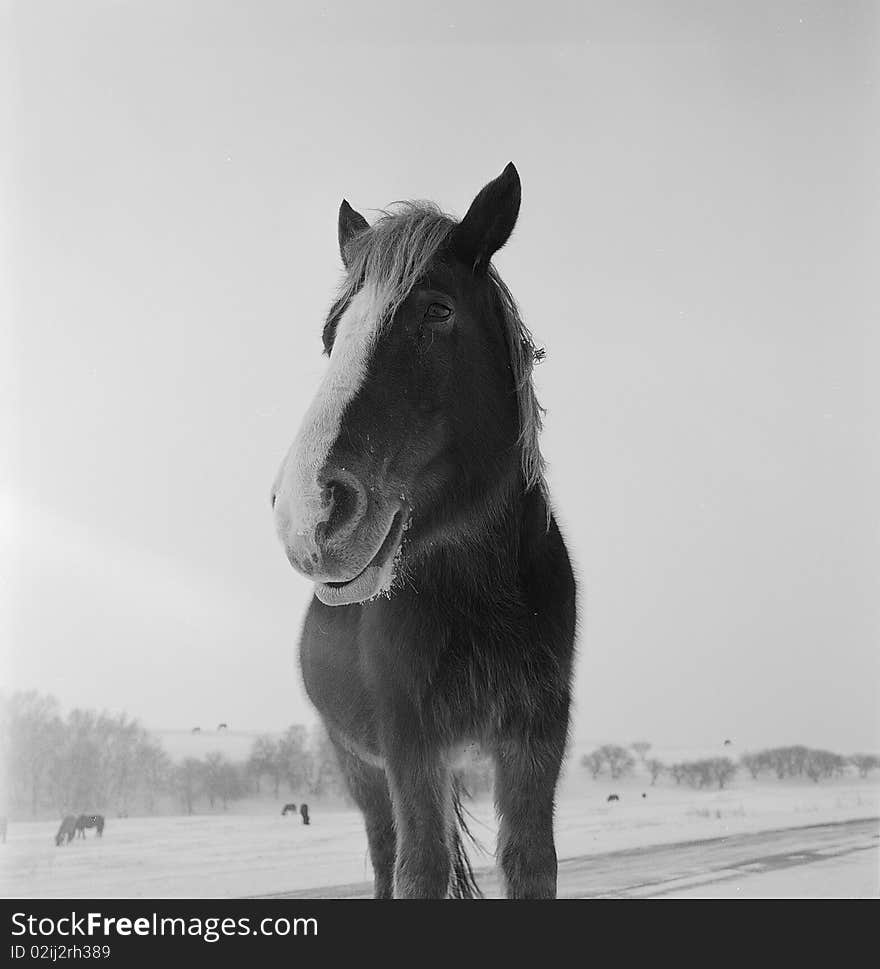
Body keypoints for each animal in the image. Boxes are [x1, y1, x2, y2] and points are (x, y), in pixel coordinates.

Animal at [272, 164, 580, 900]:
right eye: (332, 333)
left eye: (436, 311)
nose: (307, 511)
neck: (477, 598)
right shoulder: (408, 740)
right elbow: (420, 867)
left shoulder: (536, 733)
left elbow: (531, 860)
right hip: (359, 764)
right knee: (386, 852)